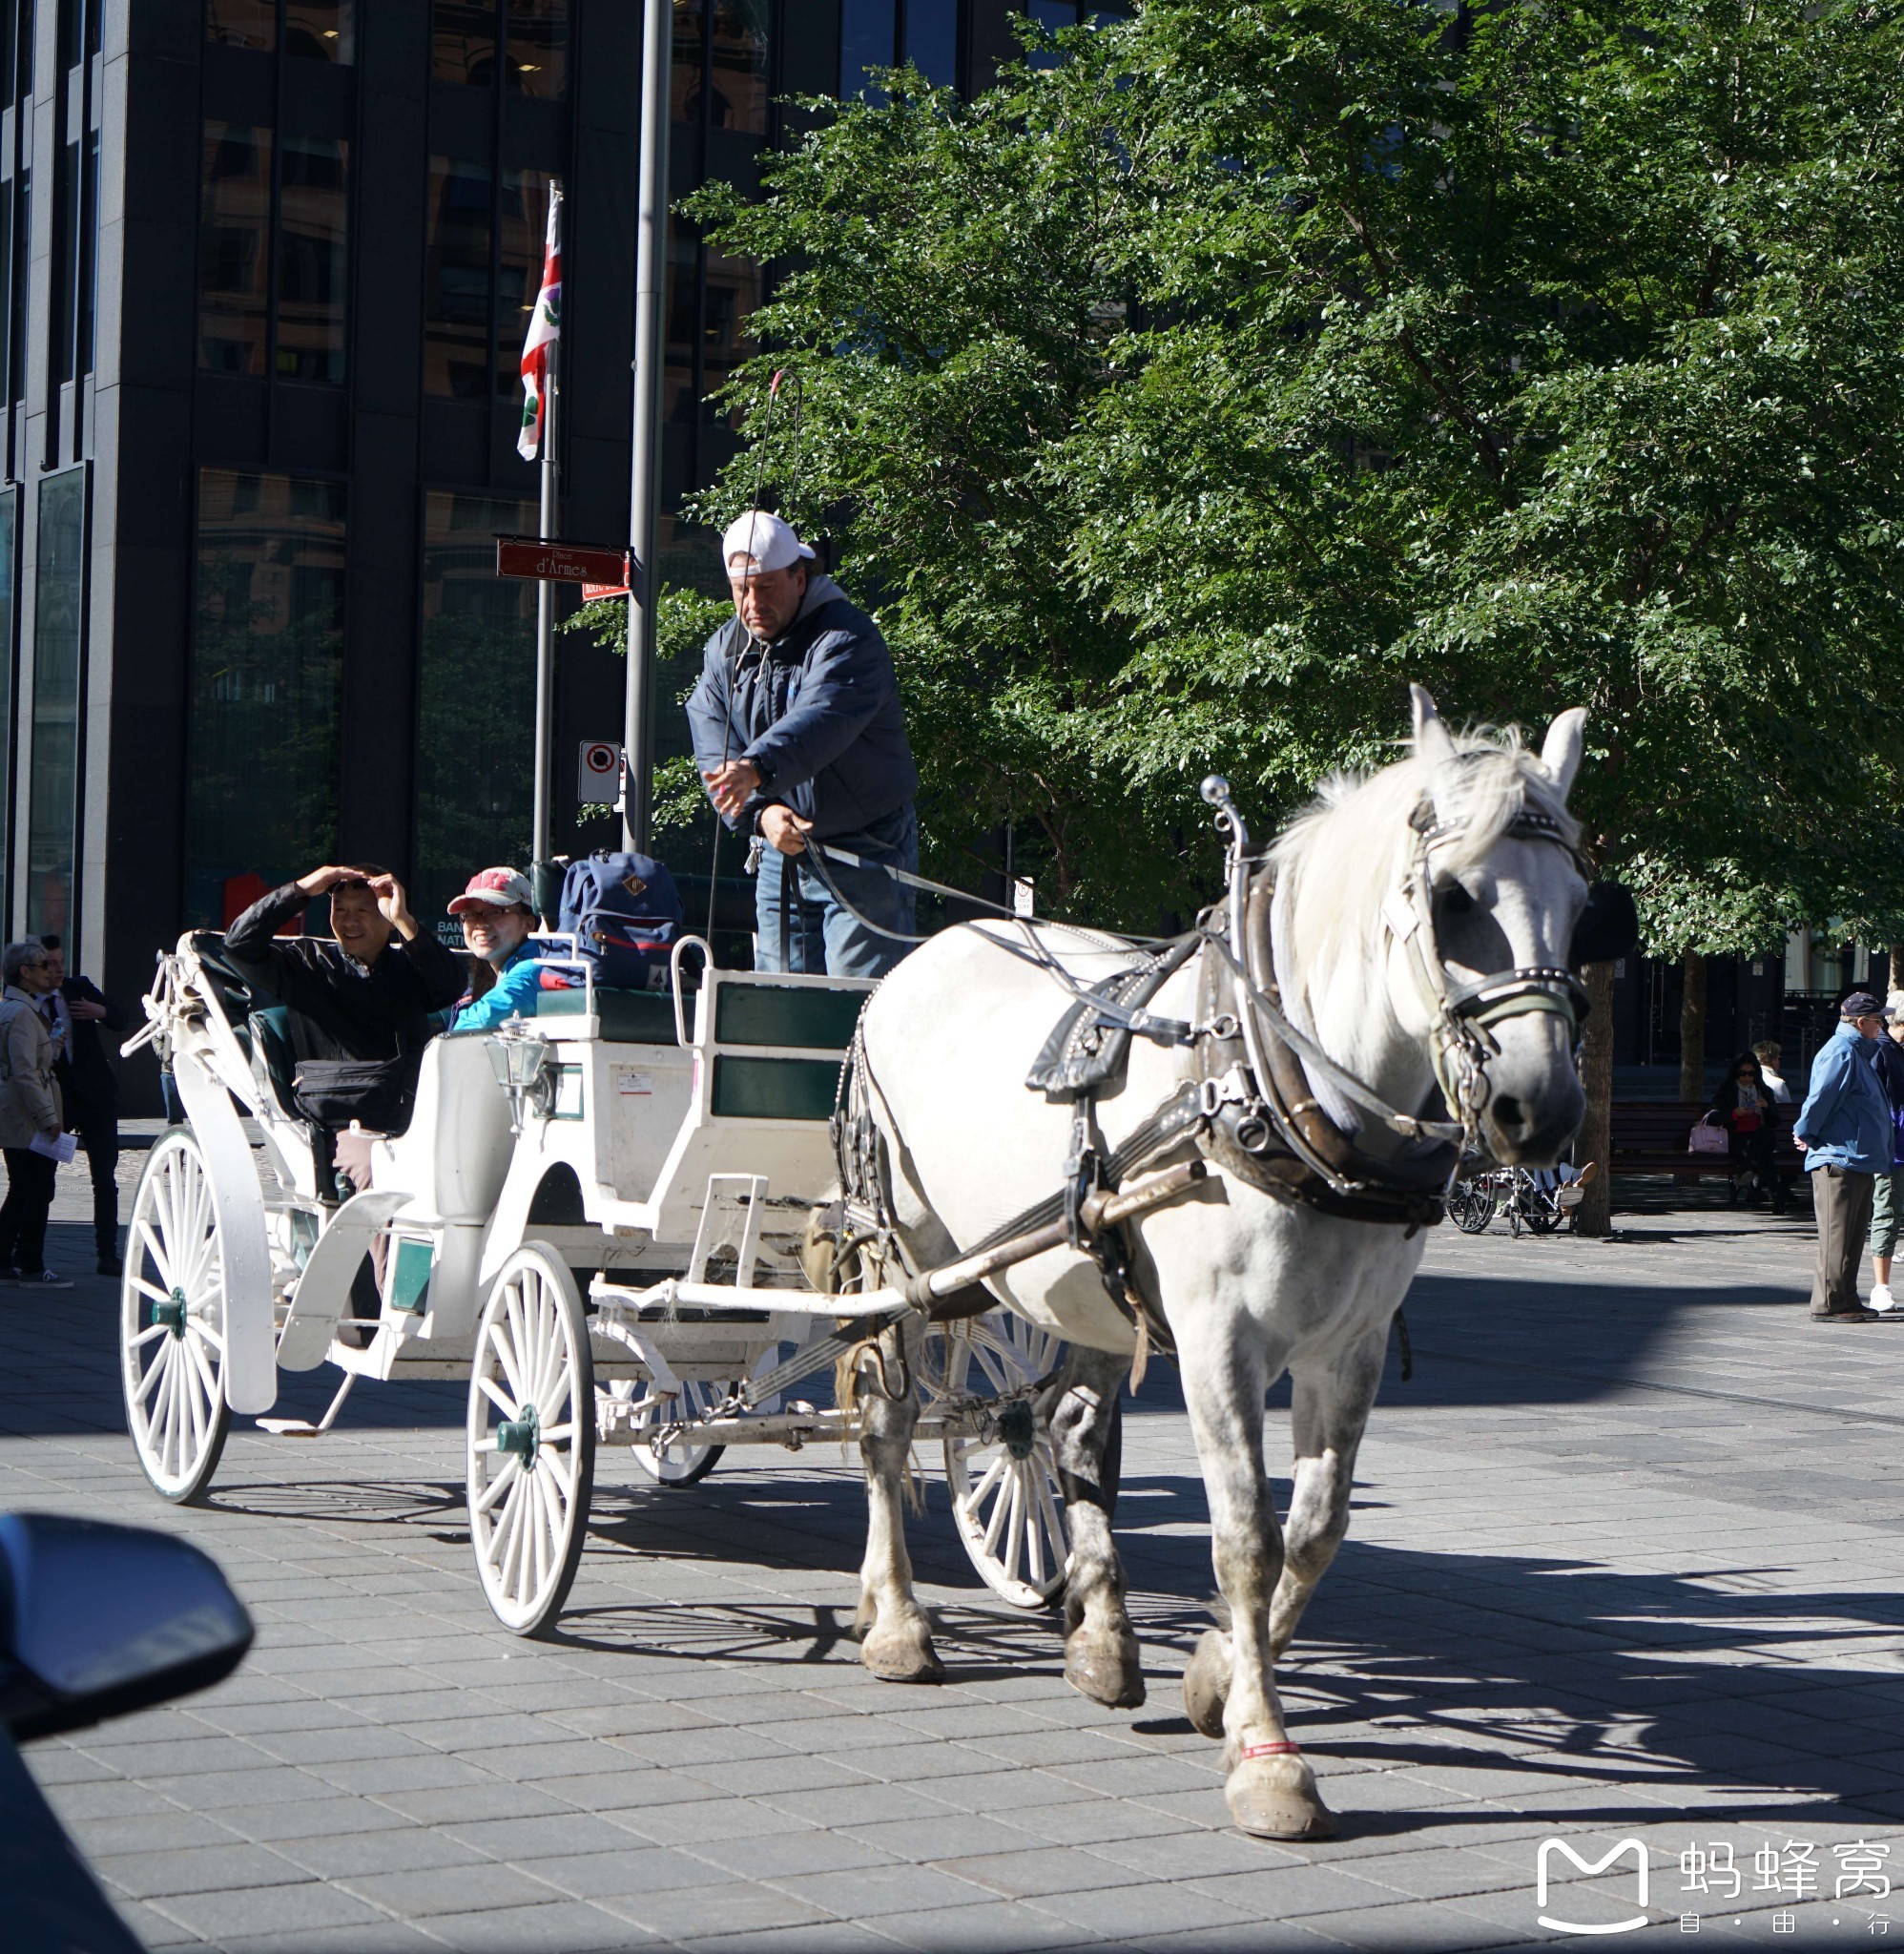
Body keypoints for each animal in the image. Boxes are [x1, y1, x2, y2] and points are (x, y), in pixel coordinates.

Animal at [839, 696, 1585, 1837]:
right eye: (1453, 898)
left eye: (1586, 908)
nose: (1538, 1113)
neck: (1280, 1088)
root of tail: (925, 953)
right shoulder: (1216, 1342)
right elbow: (1246, 1537)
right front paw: (1269, 1758)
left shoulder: (1349, 1347)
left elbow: (1315, 1531)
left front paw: (1216, 1676)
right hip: (905, 1253)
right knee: (888, 1421)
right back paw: (895, 1620)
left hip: (1085, 1274)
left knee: (1068, 1434)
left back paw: (1100, 1639)